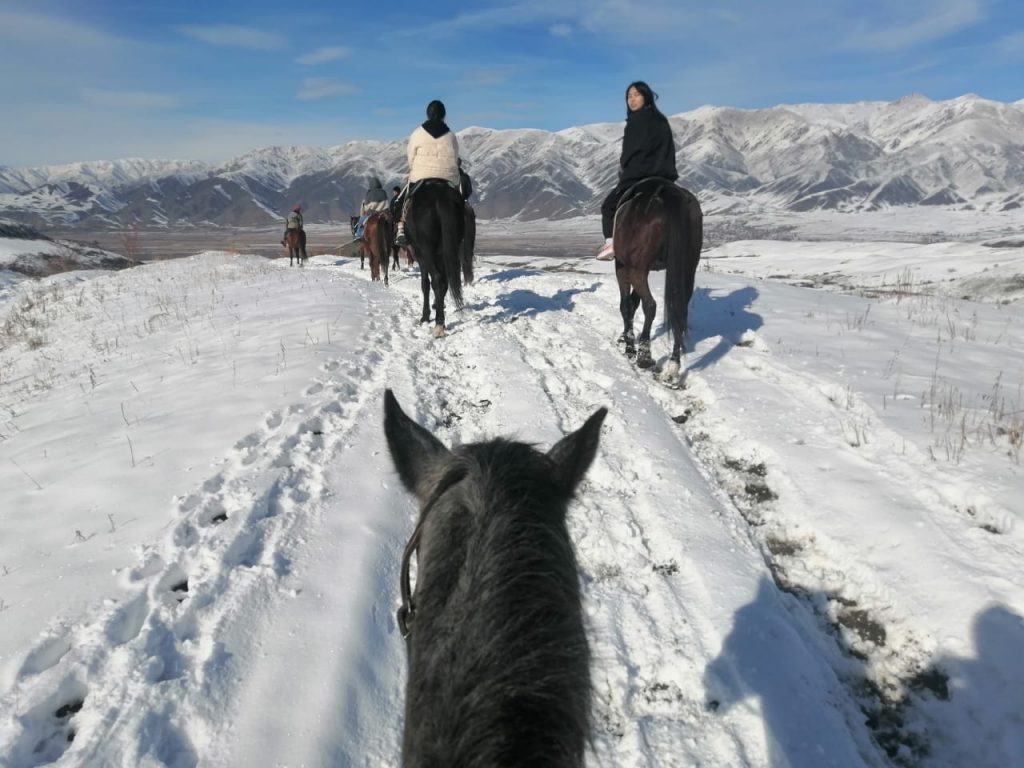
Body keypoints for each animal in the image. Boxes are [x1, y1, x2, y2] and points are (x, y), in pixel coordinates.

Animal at [409, 182, 468, 337]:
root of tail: (441, 197)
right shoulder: (441, 255)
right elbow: (444, 283)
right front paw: (437, 305)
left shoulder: (420, 254)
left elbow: (425, 284)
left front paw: (425, 316)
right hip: (450, 247)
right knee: (445, 280)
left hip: (426, 250)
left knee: (435, 278)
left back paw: (439, 325)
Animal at [610, 178, 700, 382]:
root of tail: (668, 192)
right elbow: (633, 302)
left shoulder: (623, 267)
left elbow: (626, 305)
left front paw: (629, 345)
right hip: (688, 268)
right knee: (679, 310)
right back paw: (673, 366)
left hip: (637, 268)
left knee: (650, 305)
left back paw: (644, 355)